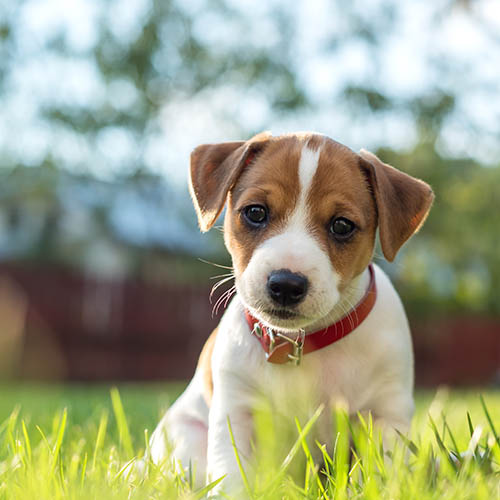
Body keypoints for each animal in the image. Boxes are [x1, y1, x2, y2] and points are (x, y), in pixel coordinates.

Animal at [148, 131, 434, 494]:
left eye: (342, 225)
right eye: (256, 212)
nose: (285, 284)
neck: (300, 342)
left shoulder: (386, 415)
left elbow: (374, 476)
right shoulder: (235, 413)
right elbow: (232, 478)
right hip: (184, 441)